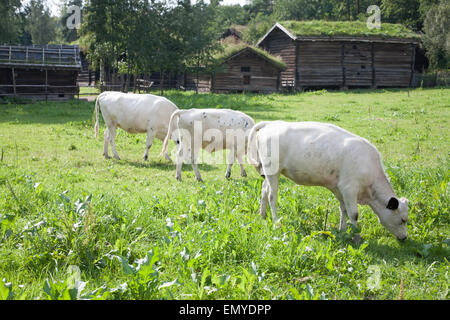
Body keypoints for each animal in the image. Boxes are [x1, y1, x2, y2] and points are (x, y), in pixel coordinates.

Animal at [248, 121, 410, 241]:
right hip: (273, 171)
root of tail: (271, 124)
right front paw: (357, 236)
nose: (404, 238)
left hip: (268, 173)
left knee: (264, 190)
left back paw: (262, 215)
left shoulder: (339, 188)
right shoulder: (349, 188)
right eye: (403, 219)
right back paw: (276, 222)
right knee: (272, 196)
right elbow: (354, 214)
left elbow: (343, 210)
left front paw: (343, 230)